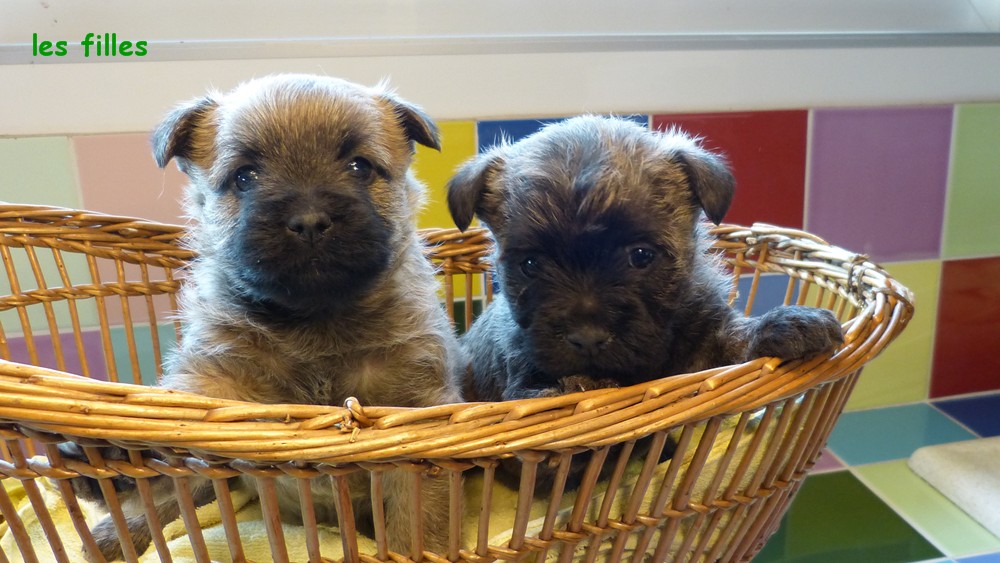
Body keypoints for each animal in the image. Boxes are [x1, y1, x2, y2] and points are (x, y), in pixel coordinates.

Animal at [61, 74, 464, 560]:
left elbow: (416, 525)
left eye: (360, 167)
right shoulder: (216, 388)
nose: (309, 221)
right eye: (244, 176)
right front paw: (124, 451)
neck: (314, 321)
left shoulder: (416, 416)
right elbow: (173, 436)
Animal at [446, 115, 843, 483]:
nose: (587, 338)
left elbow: (733, 338)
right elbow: (543, 408)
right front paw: (579, 390)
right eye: (530, 264)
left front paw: (788, 323)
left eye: (641, 255)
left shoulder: (703, 339)